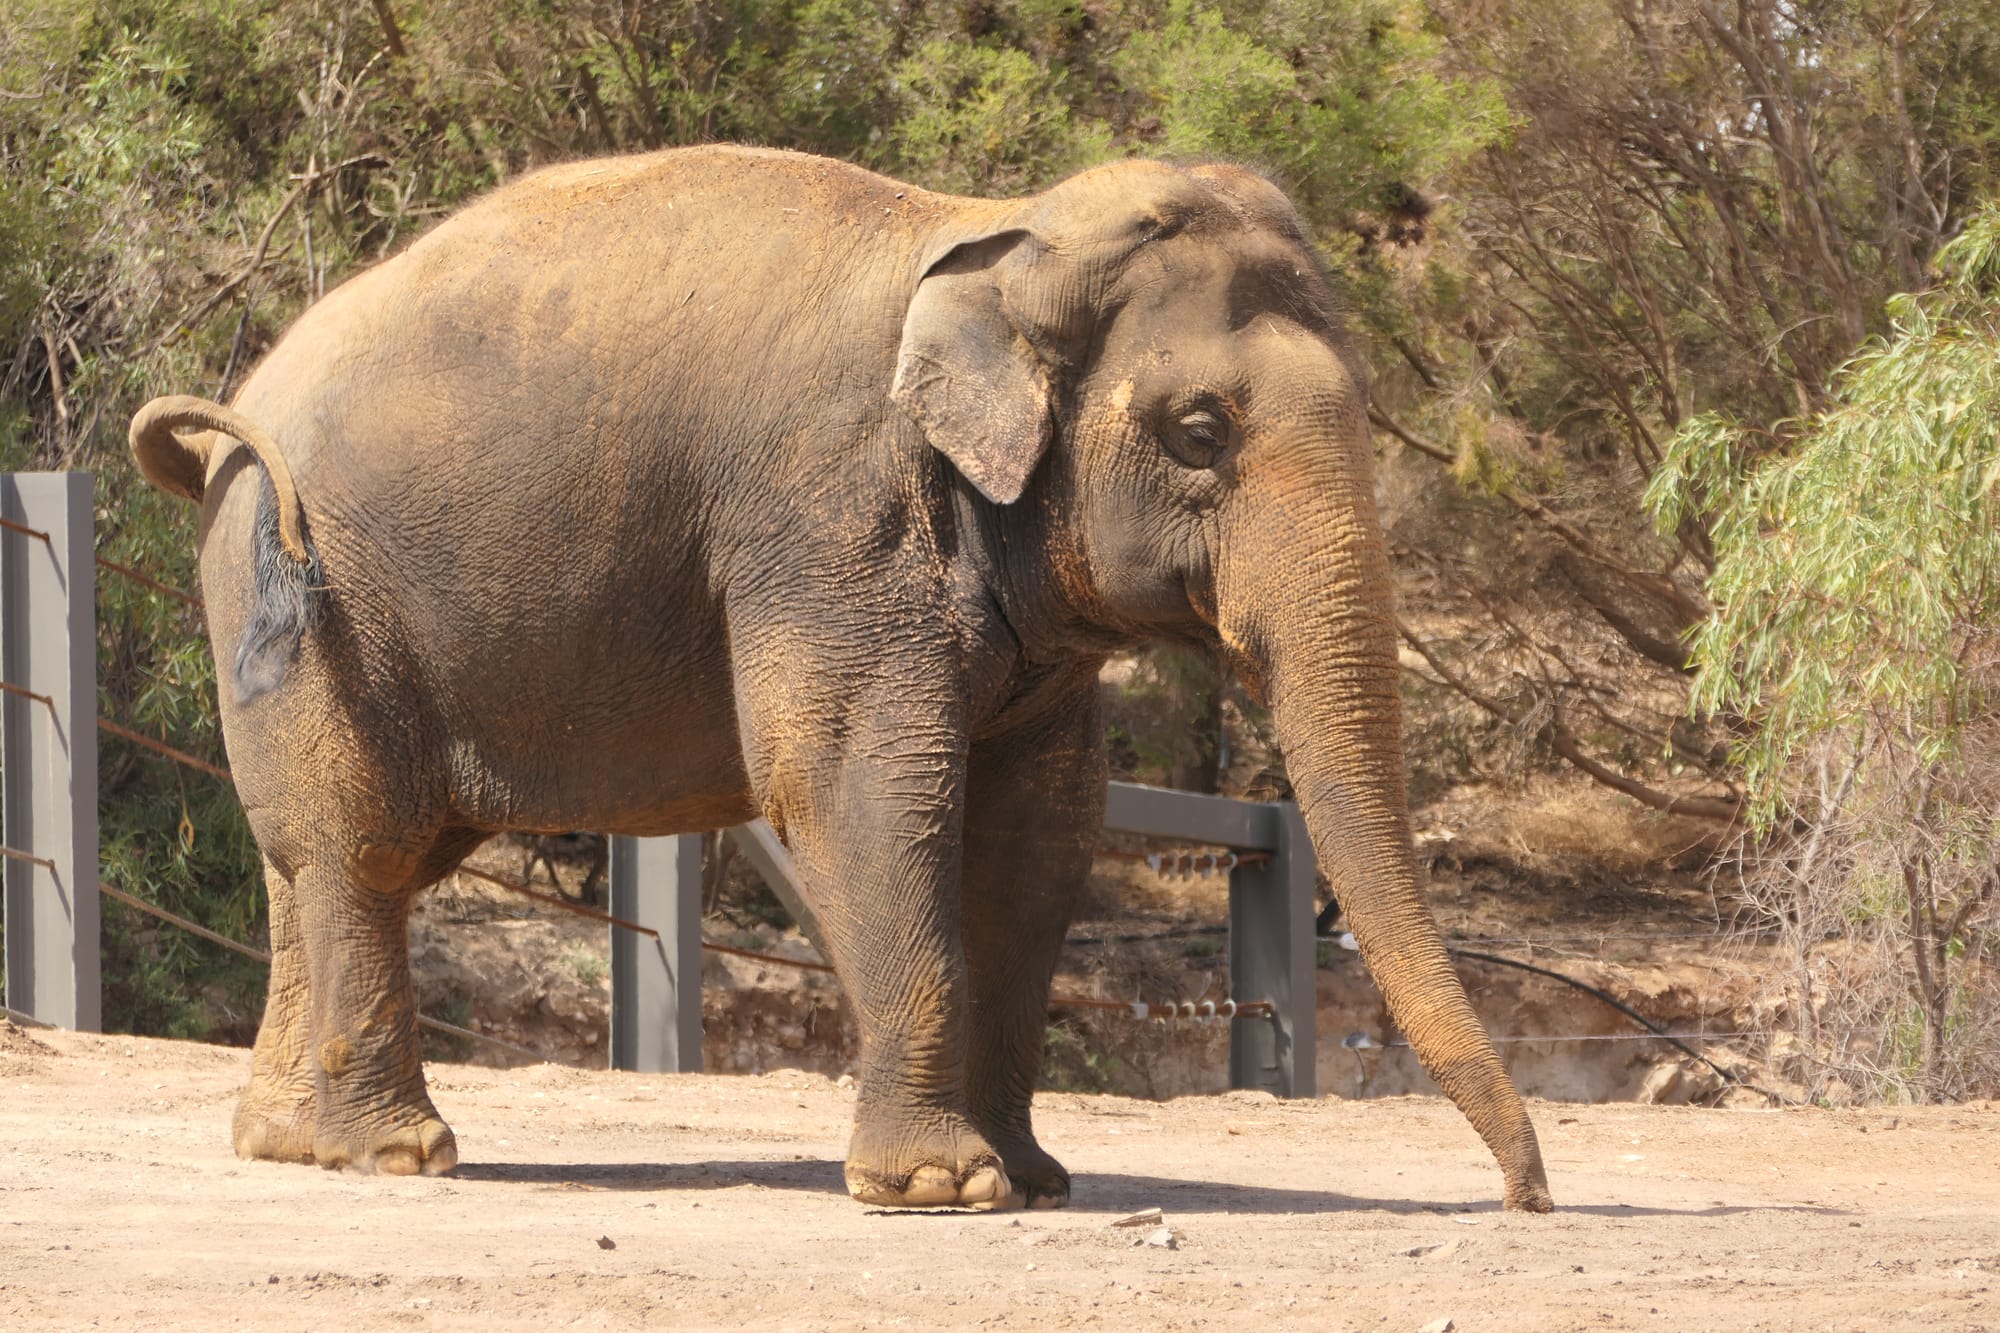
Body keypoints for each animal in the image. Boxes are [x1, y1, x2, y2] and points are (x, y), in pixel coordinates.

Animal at [129, 144, 1553, 1213]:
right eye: (1199, 433)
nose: (1526, 1197)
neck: (994, 234)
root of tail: (231, 413)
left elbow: (1043, 827)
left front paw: (1032, 1179)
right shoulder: (827, 520)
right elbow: (859, 783)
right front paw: (940, 1191)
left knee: (313, 858)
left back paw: (290, 1144)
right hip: (312, 600)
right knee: (362, 851)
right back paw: (400, 1154)